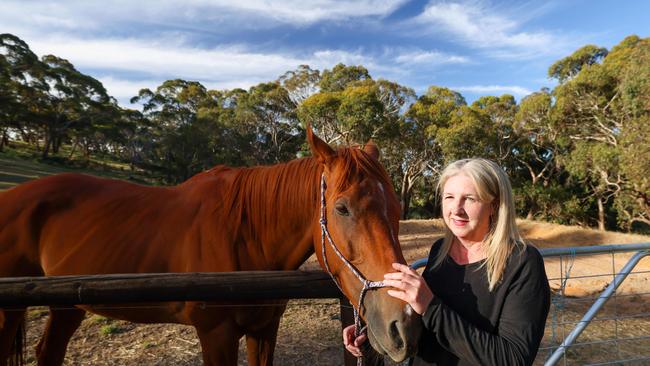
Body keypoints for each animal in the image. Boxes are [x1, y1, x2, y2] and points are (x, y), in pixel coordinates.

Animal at [0, 129, 420, 366]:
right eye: (342, 208)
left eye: (398, 208)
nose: (404, 325)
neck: (247, 233)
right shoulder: (216, 334)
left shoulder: (264, 330)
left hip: (68, 305)